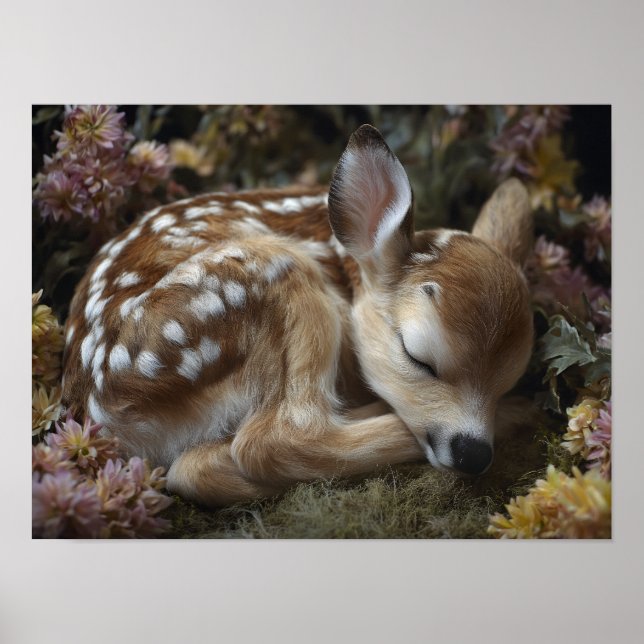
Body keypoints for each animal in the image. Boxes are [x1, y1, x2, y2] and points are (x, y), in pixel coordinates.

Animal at [62, 124, 534, 506]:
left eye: (509, 376)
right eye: (417, 356)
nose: (473, 453)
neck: (346, 266)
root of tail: (103, 410)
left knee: (193, 469)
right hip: (271, 277)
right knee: (275, 440)